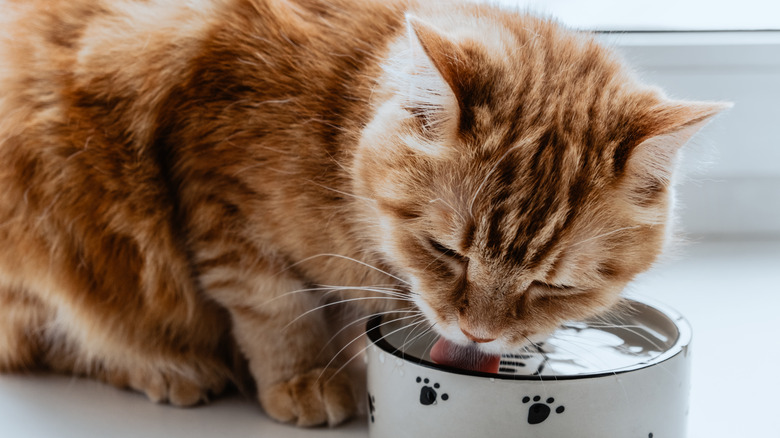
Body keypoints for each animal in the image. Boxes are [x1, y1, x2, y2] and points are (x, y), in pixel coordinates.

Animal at [0, 0, 728, 428]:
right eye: (447, 252)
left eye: (553, 285)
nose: (479, 333)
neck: (332, 118)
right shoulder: (220, 195)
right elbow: (274, 306)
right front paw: (305, 375)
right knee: (59, 335)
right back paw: (167, 368)